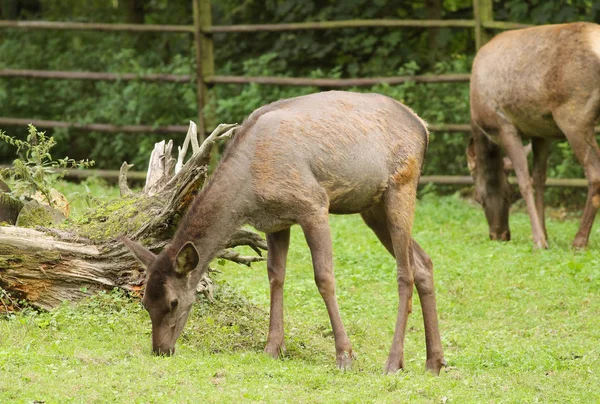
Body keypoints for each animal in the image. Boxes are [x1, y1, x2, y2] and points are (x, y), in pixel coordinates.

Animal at [123, 90, 446, 374]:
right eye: (144, 302)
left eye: (173, 302)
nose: (160, 349)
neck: (249, 192)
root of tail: (424, 128)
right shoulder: (276, 222)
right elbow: (275, 277)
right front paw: (272, 347)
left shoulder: (313, 203)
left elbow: (324, 278)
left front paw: (345, 356)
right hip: (373, 207)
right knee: (423, 262)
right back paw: (434, 362)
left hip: (401, 184)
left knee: (405, 272)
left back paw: (393, 362)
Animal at [466, 22, 600, 249]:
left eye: (478, 197)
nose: (500, 234)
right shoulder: (541, 134)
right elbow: (539, 179)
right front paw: (545, 234)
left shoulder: (504, 127)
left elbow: (525, 180)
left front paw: (538, 240)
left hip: (574, 115)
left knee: (594, 173)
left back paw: (579, 240)